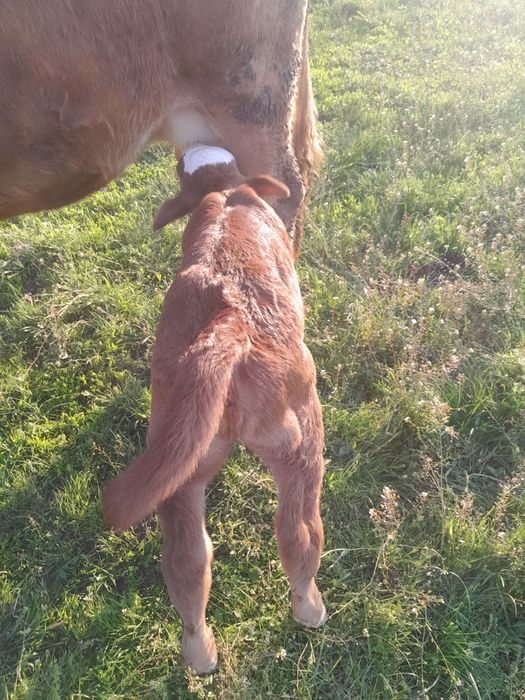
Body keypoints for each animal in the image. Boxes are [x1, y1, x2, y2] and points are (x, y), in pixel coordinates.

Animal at [102, 150, 327, 673]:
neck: (224, 192)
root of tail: (229, 327)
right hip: (301, 436)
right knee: (298, 532)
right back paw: (311, 609)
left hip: (180, 453)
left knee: (187, 561)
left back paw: (199, 654)